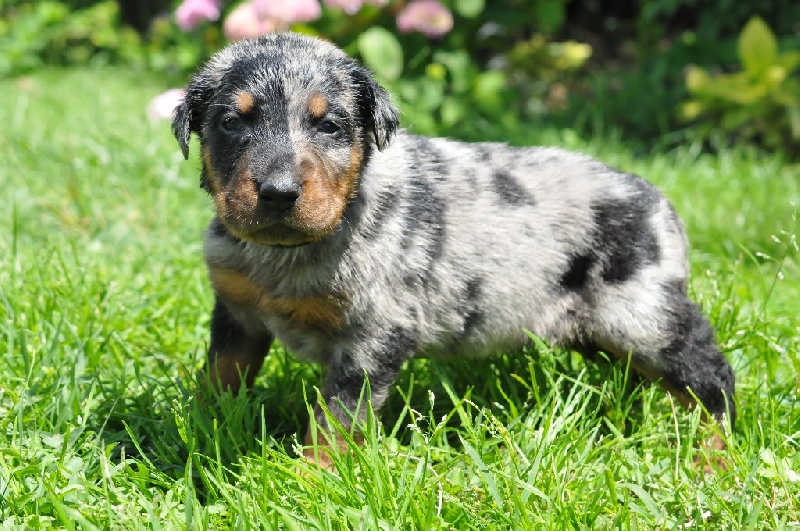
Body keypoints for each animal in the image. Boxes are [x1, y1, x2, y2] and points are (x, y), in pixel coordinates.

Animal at [172, 33, 735, 463]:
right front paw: (202, 428)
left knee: (710, 376)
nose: (278, 192)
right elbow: (220, 378)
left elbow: (334, 424)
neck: (283, 254)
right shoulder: (237, 314)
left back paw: (713, 458)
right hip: (596, 329)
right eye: (232, 122)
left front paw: (313, 479)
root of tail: (661, 205)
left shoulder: (373, 335)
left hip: (641, 315)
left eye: (329, 126)